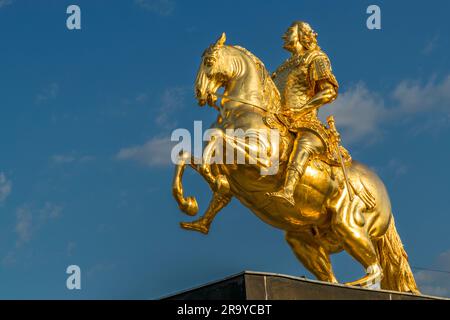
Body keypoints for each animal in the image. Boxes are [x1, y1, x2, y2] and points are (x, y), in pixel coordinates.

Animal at [172, 33, 418, 292]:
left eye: (209, 61)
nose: (199, 93)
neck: (242, 111)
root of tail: (383, 194)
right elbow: (187, 157)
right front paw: (189, 204)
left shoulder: (262, 161)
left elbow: (216, 140)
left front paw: (211, 179)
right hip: (303, 238)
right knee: (331, 277)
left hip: (348, 224)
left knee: (375, 270)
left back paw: (355, 284)